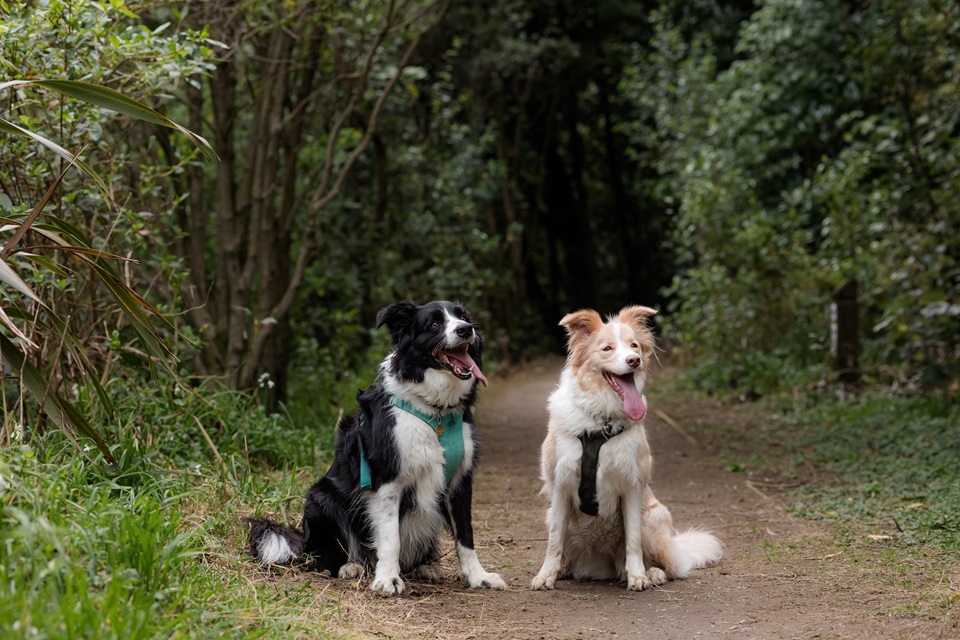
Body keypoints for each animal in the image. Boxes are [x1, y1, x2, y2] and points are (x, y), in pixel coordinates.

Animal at [244, 300, 506, 596]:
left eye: (462, 316)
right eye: (434, 323)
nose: (465, 330)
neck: (434, 411)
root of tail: (304, 541)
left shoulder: (460, 482)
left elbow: (465, 535)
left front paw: (479, 576)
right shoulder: (386, 480)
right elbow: (390, 537)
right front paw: (388, 579)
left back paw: (424, 568)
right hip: (322, 500)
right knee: (323, 559)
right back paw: (350, 567)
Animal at [532, 304, 720, 592]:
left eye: (634, 346)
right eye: (607, 348)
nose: (634, 360)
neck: (601, 420)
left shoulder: (632, 487)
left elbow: (632, 540)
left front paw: (638, 576)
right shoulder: (560, 487)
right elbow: (554, 540)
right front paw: (546, 575)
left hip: (654, 516)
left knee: (669, 566)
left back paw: (652, 572)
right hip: (551, 513)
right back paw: (565, 569)